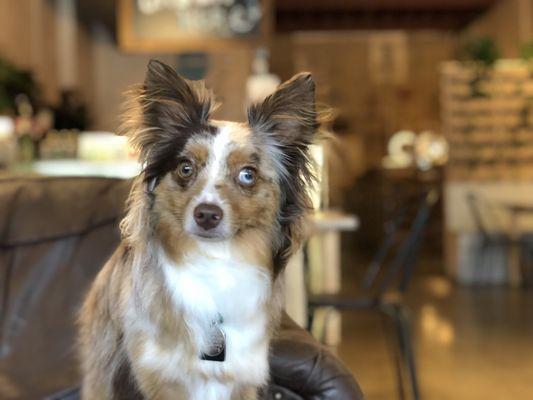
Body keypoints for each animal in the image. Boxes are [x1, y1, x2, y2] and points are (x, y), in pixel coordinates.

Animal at [77, 60, 318, 400]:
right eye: (185, 168)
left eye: (248, 174)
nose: (206, 214)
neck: (214, 263)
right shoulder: (155, 377)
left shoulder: (241, 378)